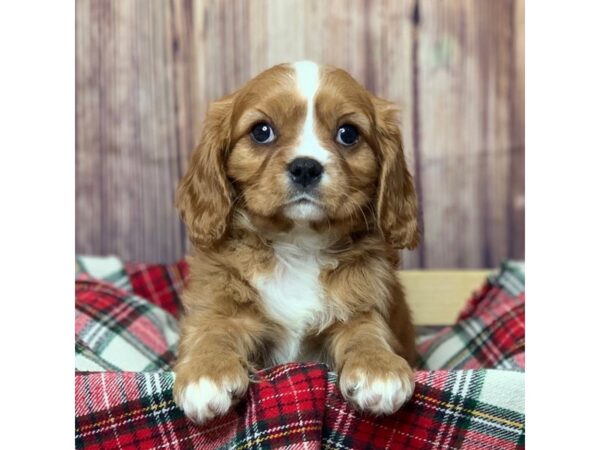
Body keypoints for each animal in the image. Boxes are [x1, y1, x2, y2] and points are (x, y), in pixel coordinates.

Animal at [171, 60, 420, 426]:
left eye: (348, 134)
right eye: (262, 131)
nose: (305, 167)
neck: (299, 244)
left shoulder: (361, 306)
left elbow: (366, 333)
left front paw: (379, 368)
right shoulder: (219, 304)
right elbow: (213, 331)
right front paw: (206, 374)